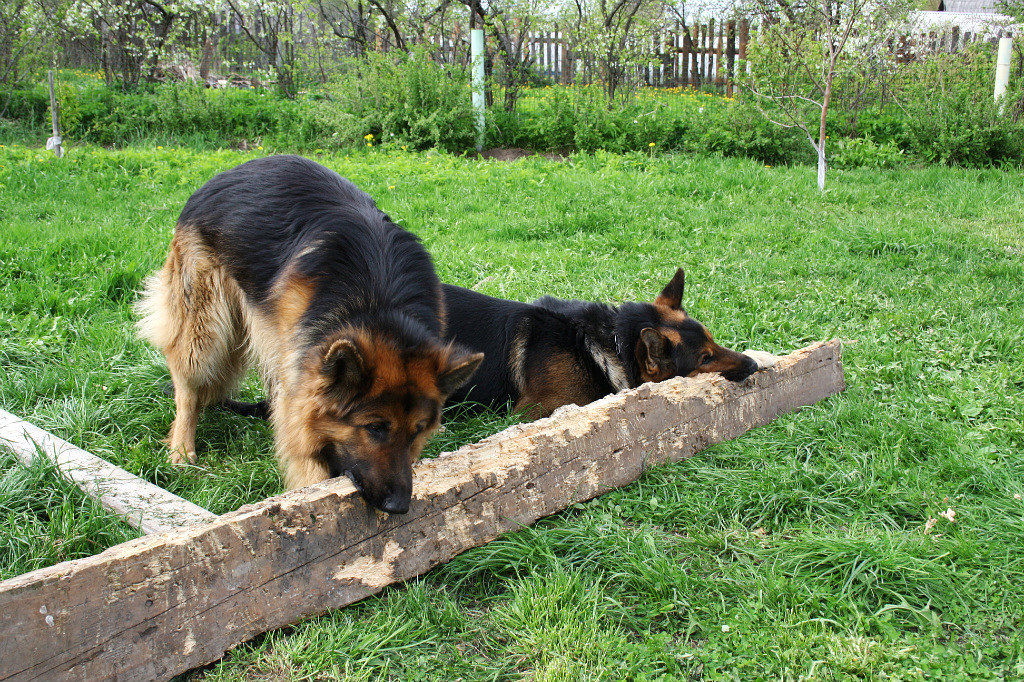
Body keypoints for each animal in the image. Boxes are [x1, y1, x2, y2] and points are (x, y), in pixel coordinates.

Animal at [136, 155, 483, 509]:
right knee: (187, 386)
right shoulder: (301, 391)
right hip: (205, 333)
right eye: (374, 428)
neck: (379, 306)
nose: (399, 506)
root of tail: (230, 171)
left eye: (418, 430)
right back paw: (182, 449)